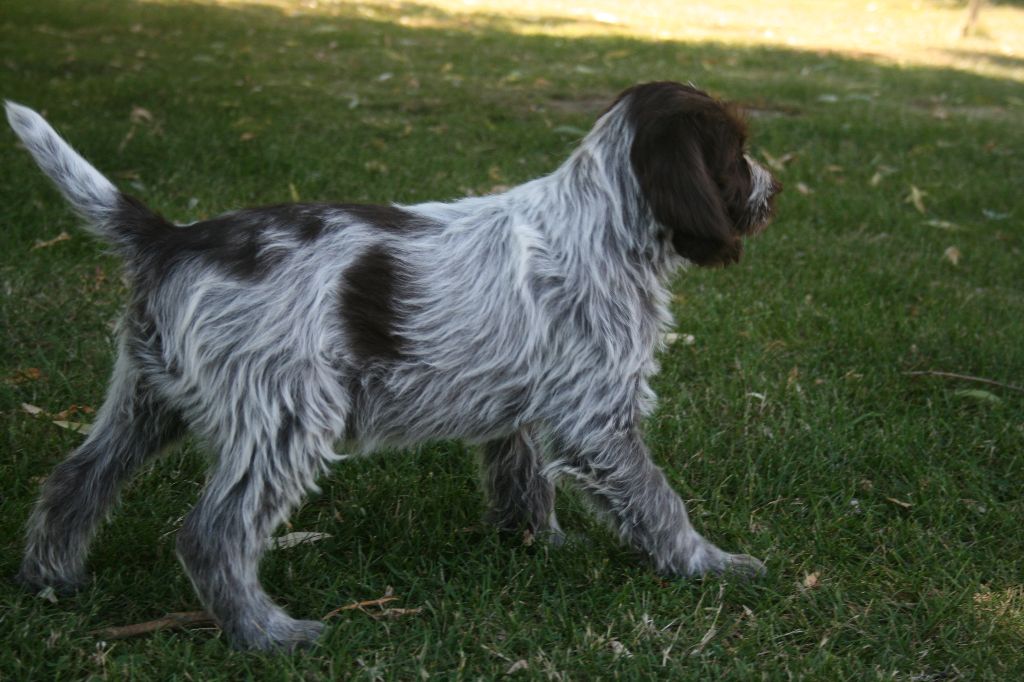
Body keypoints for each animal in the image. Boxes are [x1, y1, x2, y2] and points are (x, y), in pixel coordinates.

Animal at [7, 81, 780, 650]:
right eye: (736, 152)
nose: (772, 191)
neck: (603, 222)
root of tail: (173, 238)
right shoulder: (599, 421)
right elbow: (656, 500)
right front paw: (705, 564)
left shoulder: (521, 407)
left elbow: (524, 482)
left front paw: (537, 545)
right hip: (286, 415)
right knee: (212, 535)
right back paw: (267, 634)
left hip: (147, 400)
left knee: (75, 481)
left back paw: (49, 580)